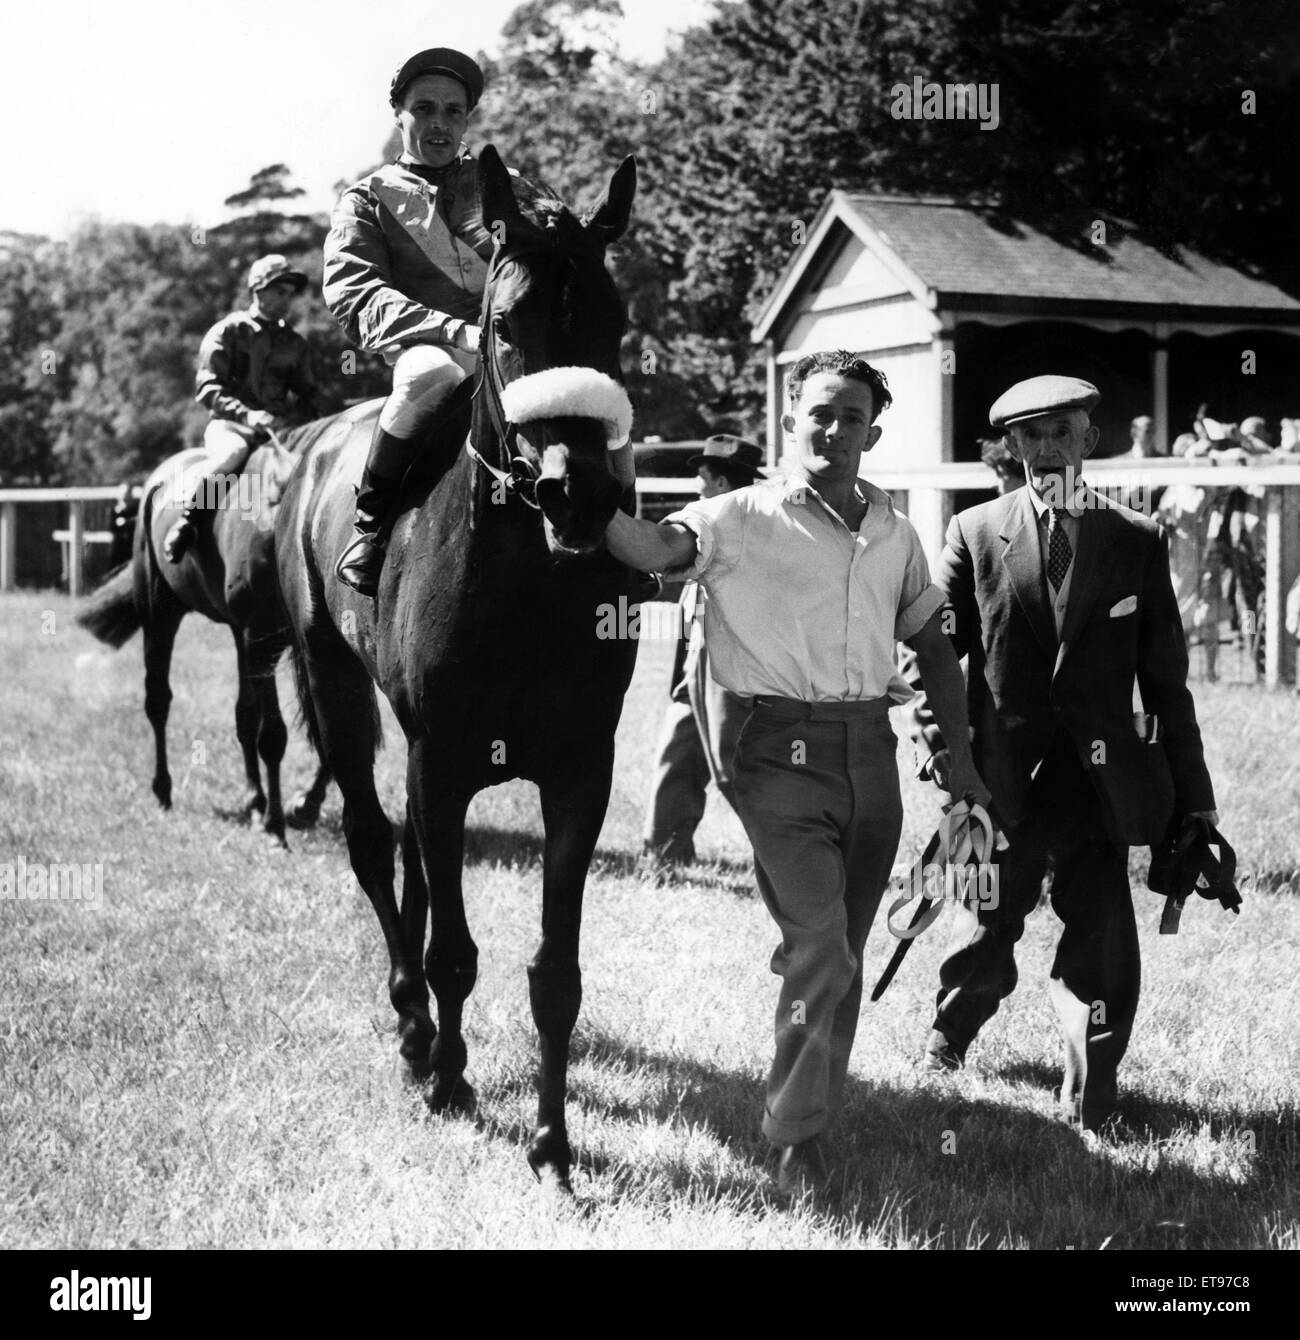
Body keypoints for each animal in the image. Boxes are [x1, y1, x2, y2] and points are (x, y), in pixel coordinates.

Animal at [76, 436, 332, 836]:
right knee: (158, 700)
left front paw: (300, 806)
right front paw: (277, 824)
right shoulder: (260, 639)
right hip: (160, 615)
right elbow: (273, 735)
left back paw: (255, 799)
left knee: (243, 713)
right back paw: (164, 790)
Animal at [274, 146, 637, 1189]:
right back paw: (412, 1033)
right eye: (507, 325)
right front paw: (445, 1076)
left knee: (402, 855)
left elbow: (555, 973)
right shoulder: (441, 757)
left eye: (614, 325)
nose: (578, 493)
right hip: (335, 684)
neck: (524, 585)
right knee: (370, 841)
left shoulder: (579, 770)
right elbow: (453, 953)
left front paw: (553, 1144)